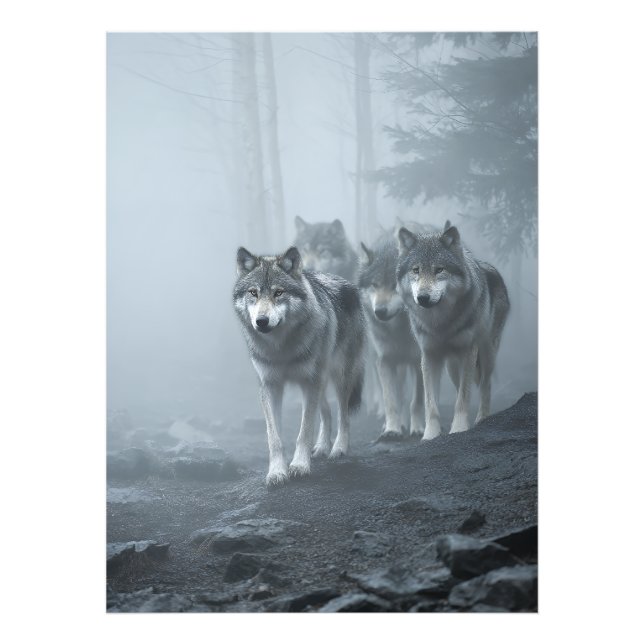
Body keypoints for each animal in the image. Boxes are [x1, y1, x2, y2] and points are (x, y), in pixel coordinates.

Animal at [233, 245, 365, 485]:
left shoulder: (310, 382)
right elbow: (274, 437)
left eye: (278, 293)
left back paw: (339, 449)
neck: (281, 349)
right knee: (327, 412)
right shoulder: (270, 386)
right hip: (320, 382)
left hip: (339, 377)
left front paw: (300, 466)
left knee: (343, 414)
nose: (261, 321)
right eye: (253, 293)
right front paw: (277, 472)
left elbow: (304, 431)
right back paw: (322, 447)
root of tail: (349, 284)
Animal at [358, 231, 424, 439]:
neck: (399, 331)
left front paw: (417, 428)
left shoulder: (418, 361)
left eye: (395, 285)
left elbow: (416, 401)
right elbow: (391, 400)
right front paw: (392, 429)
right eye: (374, 285)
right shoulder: (385, 360)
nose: (379, 311)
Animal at [396, 221, 510, 438]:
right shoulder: (429, 356)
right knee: (460, 387)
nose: (423, 297)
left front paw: (458, 429)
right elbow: (431, 404)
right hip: (451, 367)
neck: (440, 323)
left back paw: (482, 419)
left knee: (485, 385)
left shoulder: (468, 351)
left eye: (439, 269)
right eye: (416, 270)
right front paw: (430, 435)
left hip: (487, 353)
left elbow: (463, 398)